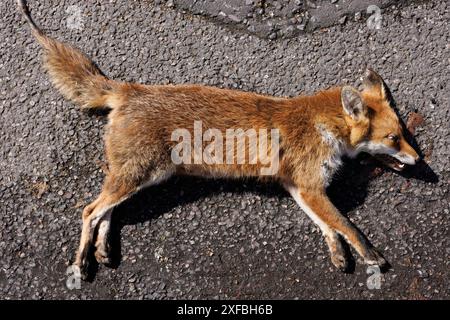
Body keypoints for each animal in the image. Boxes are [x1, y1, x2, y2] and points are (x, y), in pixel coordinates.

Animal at [15, 0, 420, 278]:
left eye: (404, 135)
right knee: (89, 210)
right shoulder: (310, 185)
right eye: (393, 137)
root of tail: (130, 89)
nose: (420, 161)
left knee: (105, 211)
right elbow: (348, 226)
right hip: (139, 174)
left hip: (142, 177)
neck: (321, 125)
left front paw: (337, 253)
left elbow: (328, 226)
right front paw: (370, 256)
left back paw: (100, 248)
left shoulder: (299, 187)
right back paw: (82, 262)